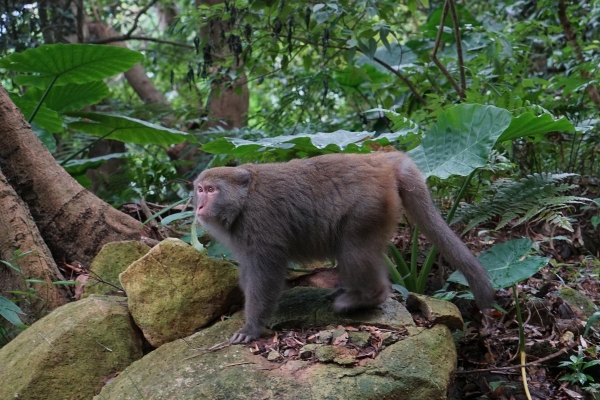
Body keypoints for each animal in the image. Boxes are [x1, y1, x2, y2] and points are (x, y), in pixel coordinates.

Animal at [195, 152, 494, 342]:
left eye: (211, 190)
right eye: (199, 189)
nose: (198, 206)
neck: (243, 202)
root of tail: (381, 159)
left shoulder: (260, 222)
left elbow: (266, 273)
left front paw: (251, 327)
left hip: (369, 206)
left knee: (353, 247)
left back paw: (367, 297)